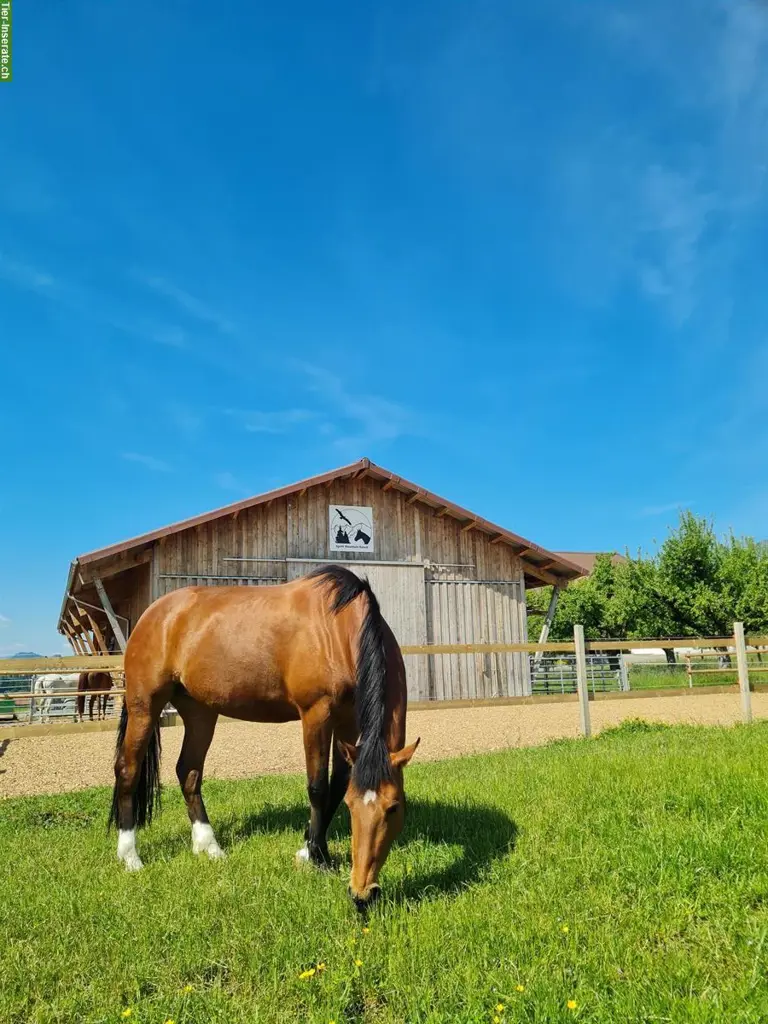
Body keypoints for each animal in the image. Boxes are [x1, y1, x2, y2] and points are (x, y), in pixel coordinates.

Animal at [109, 565, 420, 911]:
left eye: (394, 807)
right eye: (353, 810)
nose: (362, 894)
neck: (339, 629)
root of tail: (153, 613)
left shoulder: (349, 721)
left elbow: (339, 783)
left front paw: (311, 849)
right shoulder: (316, 713)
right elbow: (318, 787)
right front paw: (317, 857)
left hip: (200, 712)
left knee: (188, 772)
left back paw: (209, 846)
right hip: (144, 705)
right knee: (128, 770)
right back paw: (130, 856)